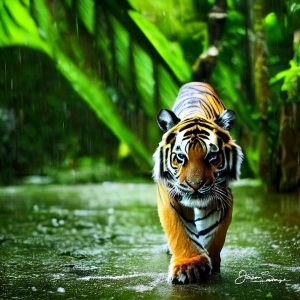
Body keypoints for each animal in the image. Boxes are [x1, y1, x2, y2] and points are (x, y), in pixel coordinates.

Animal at [154, 81, 243, 284]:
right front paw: (188, 266)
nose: (195, 185)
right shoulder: (168, 194)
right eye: (180, 157)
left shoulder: (222, 196)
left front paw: (210, 262)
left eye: (212, 157)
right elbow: (179, 230)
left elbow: (214, 233)